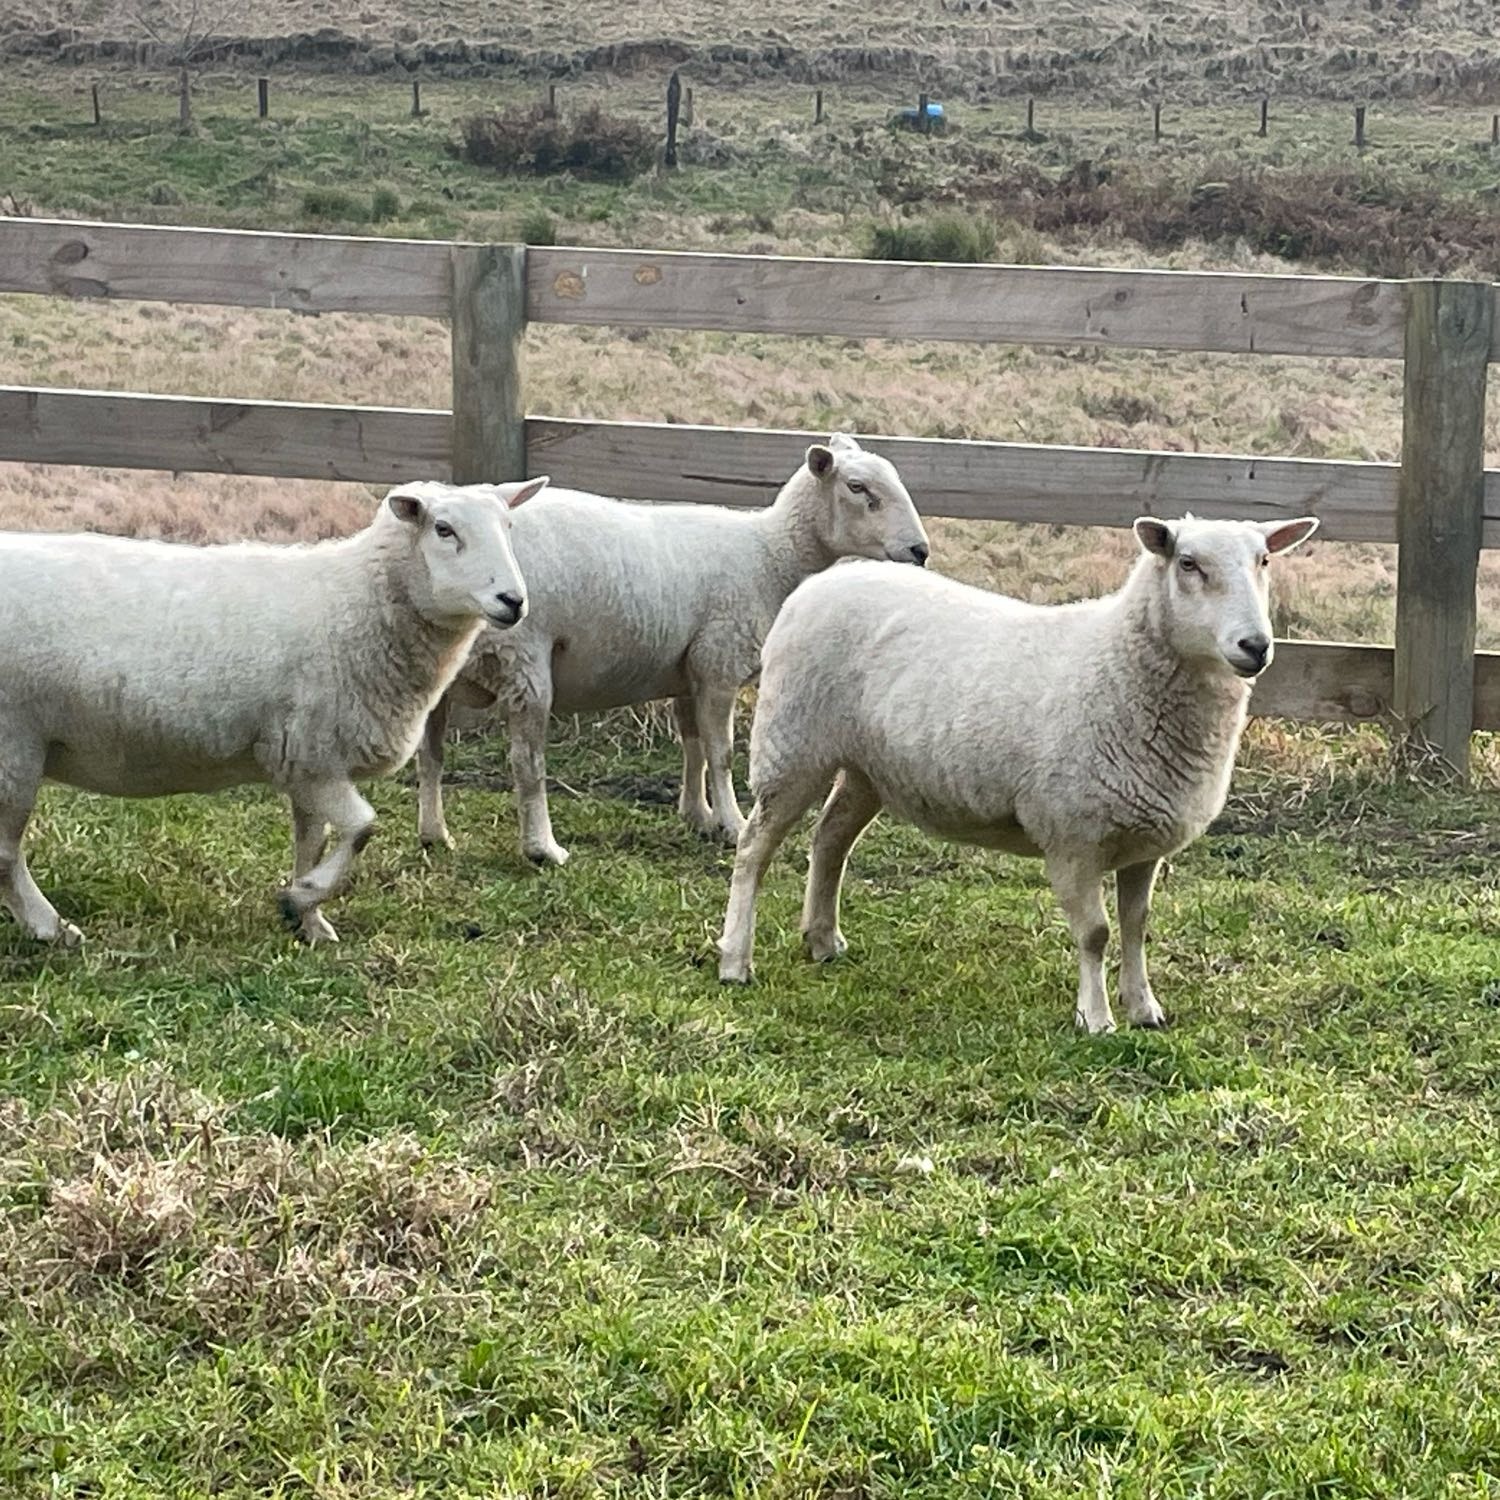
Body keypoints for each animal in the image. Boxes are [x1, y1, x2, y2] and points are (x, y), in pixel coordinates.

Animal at [0, 477, 546, 948]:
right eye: (444, 529)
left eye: (509, 526)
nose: (513, 601)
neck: (355, 604)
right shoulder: (314, 755)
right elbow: (363, 827)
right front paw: (298, 898)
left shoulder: (305, 761)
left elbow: (312, 841)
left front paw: (310, 922)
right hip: (14, 747)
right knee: (6, 854)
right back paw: (49, 928)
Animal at [415, 434, 930, 865]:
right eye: (858, 487)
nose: (920, 551)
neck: (771, 555)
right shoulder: (719, 661)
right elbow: (722, 752)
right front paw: (731, 824)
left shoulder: (688, 669)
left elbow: (693, 746)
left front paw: (698, 816)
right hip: (523, 657)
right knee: (526, 762)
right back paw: (542, 848)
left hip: (438, 671)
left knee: (430, 754)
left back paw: (434, 834)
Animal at [717, 513, 1319, 1034]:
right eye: (1189, 563)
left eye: (1265, 559)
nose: (1256, 646)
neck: (1119, 665)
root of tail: (822, 580)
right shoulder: (1073, 836)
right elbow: (1096, 933)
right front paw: (1096, 1018)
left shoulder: (1143, 839)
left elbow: (1137, 926)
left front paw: (1144, 1007)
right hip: (792, 743)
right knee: (753, 850)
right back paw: (735, 959)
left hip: (869, 766)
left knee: (830, 839)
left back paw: (822, 940)